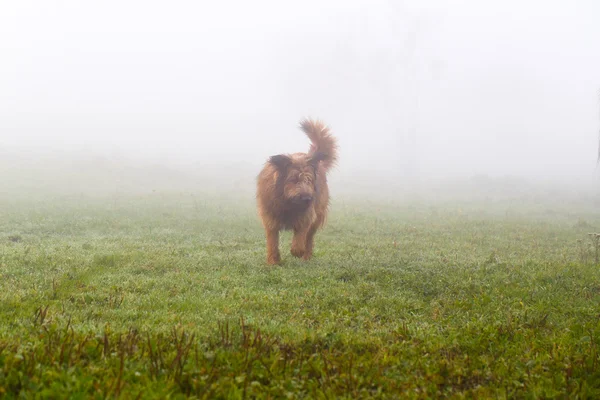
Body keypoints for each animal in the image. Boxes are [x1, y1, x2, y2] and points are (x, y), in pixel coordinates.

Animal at [256, 117, 338, 264]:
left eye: (309, 180)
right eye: (293, 180)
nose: (307, 198)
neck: (287, 203)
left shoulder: (307, 215)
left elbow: (301, 234)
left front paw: (297, 251)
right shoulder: (270, 217)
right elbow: (272, 240)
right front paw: (273, 261)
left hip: (318, 215)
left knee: (309, 238)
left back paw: (306, 256)